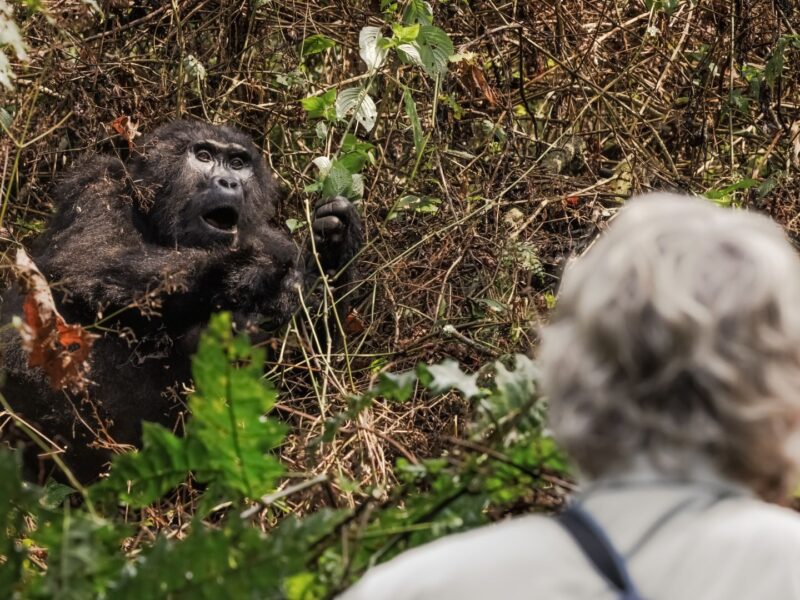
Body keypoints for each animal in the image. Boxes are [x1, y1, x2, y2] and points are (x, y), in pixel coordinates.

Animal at [0, 119, 362, 480]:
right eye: (203, 156)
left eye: (238, 163)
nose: (229, 182)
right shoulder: (97, 183)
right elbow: (90, 263)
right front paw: (244, 269)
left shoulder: (275, 241)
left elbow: (310, 371)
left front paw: (335, 244)